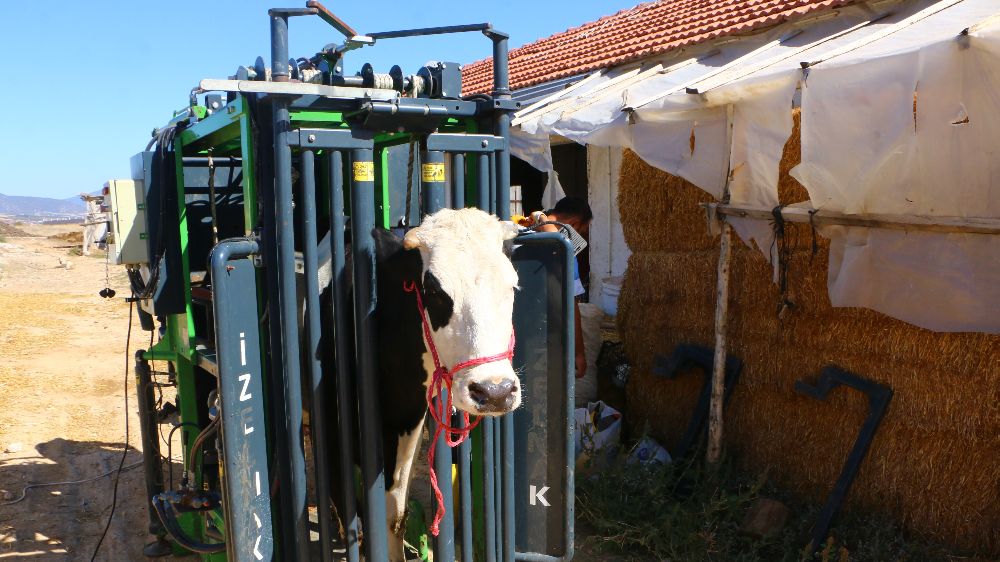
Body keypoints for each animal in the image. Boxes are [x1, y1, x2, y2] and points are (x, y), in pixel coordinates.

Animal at [320, 207, 524, 560]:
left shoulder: (409, 426)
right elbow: (352, 517)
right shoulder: (332, 431)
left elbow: (395, 516)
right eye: (435, 292)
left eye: (511, 287)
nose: (494, 391)